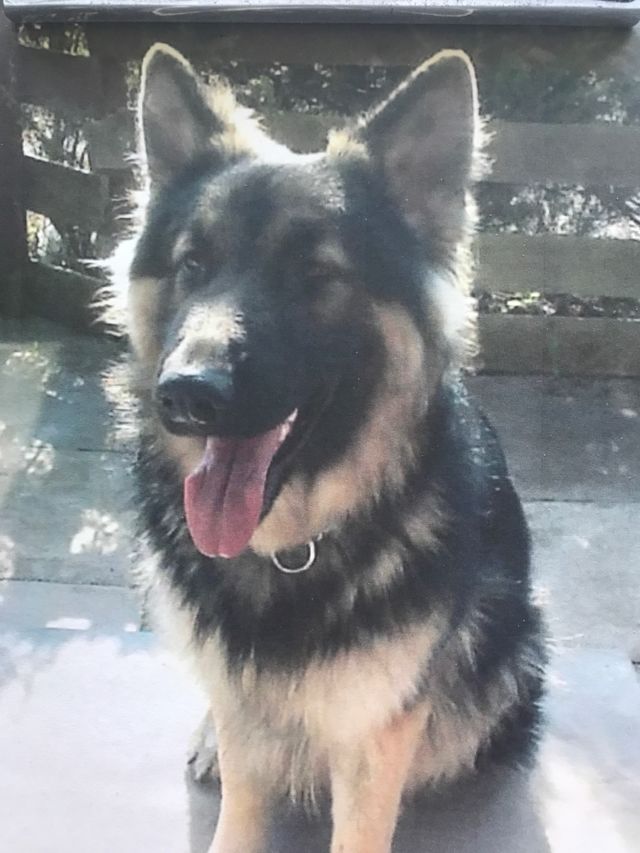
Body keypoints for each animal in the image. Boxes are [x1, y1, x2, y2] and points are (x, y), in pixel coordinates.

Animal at [111, 43, 545, 853]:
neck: (292, 546)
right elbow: (239, 802)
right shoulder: (247, 710)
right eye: (193, 264)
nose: (184, 393)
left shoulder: (375, 733)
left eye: (315, 273)